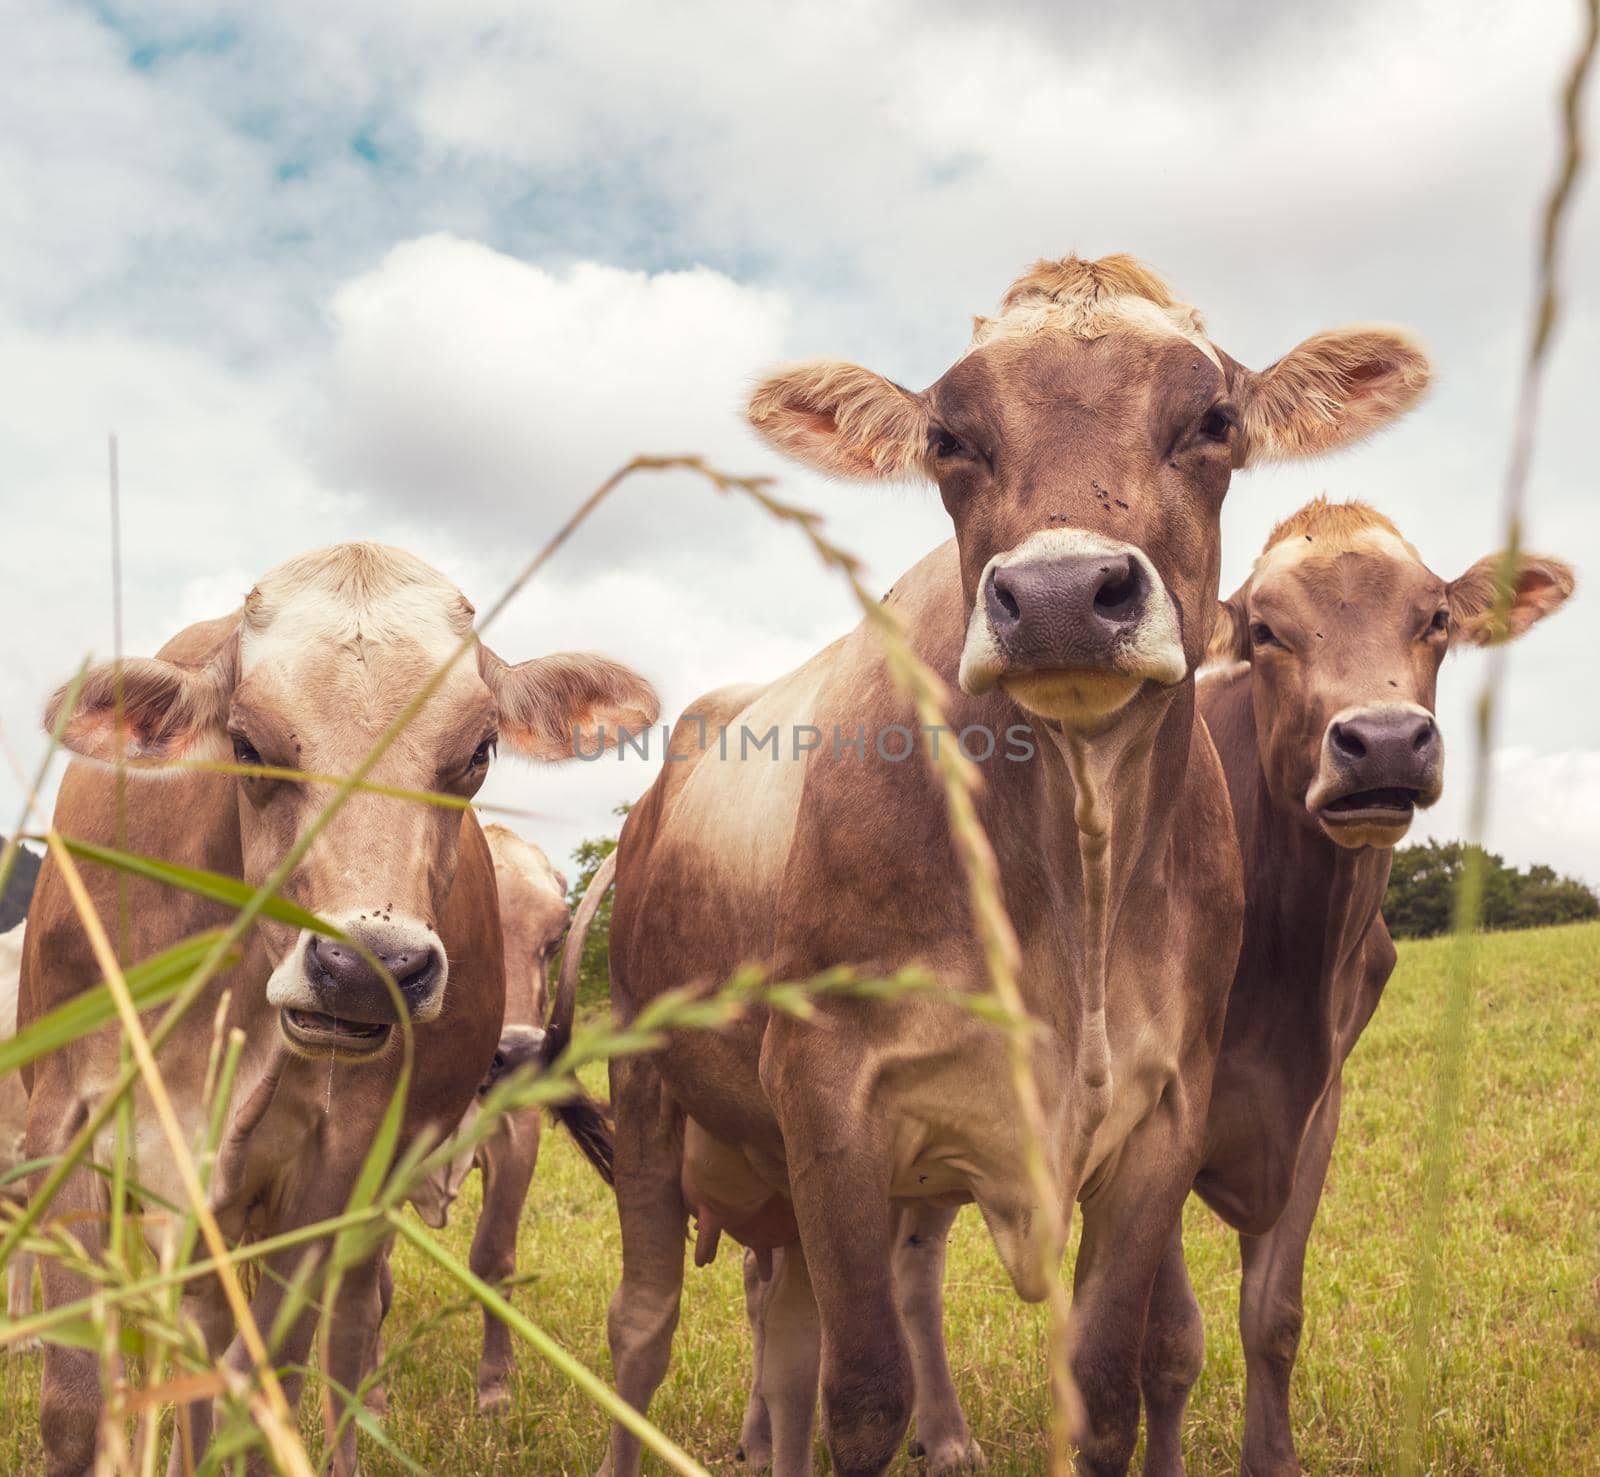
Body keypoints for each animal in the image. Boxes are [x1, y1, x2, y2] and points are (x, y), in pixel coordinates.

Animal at [20, 544, 656, 1477]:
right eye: (247, 742)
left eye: (478, 751)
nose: (366, 969)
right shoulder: (64, 1123)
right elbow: (79, 1402)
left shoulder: (338, 1158)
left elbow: (269, 1385)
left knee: (353, 1321)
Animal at [592, 257, 1427, 1477]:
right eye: (949, 436)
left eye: (1213, 420)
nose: (1063, 597)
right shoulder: (827, 1088)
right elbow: (865, 1396)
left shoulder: (1164, 1112)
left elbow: (1107, 1391)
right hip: (649, 1087)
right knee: (645, 1328)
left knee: (784, 1336)